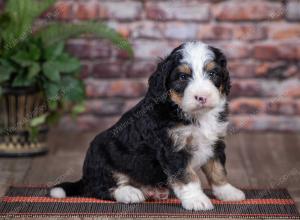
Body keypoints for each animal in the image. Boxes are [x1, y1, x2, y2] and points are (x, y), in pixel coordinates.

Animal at [49, 40, 246, 211]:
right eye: (182, 77)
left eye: (212, 74)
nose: (202, 97)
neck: (192, 115)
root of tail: (85, 177)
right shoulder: (172, 149)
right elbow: (187, 176)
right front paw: (197, 200)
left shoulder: (215, 141)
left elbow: (217, 169)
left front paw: (227, 191)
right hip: (101, 156)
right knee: (102, 187)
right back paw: (129, 193)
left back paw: (153, 190)